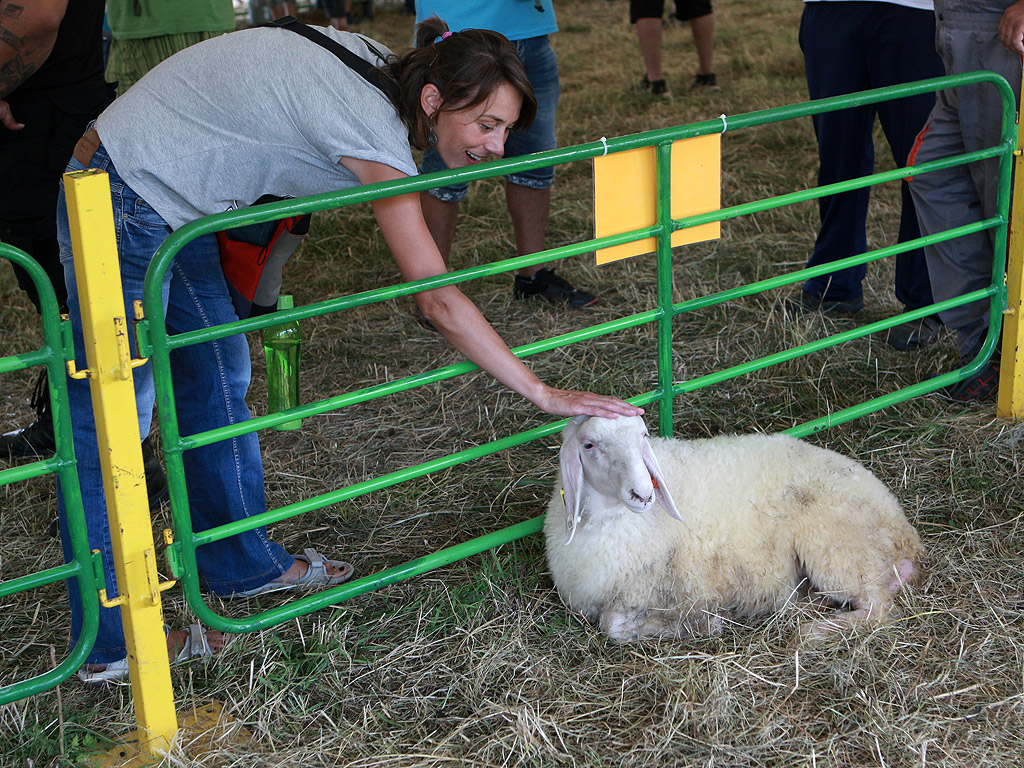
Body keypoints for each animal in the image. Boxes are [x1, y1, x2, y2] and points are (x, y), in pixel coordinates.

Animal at [548, 417, 925, 638]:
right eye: (589, 445)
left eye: (643, 436)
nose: (643, 493)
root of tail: (907, 538)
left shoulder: (665, 590)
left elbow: (612, 625)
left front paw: (698, 624)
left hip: (835, 549)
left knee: (878, 609)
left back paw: (814, 632)